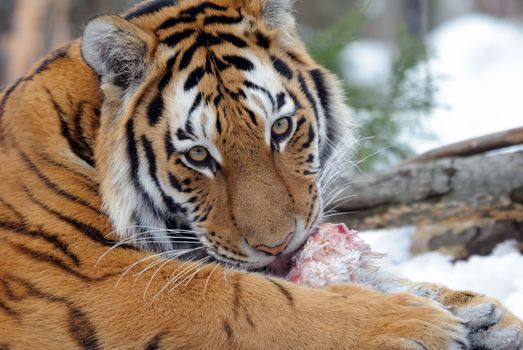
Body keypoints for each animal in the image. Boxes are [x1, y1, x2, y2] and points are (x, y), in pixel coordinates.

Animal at [0, 0, 520, 348]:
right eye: (198, 155)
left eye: (281, 128)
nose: (278, 246)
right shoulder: (94, 281)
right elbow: (249, 300)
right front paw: (418, 324)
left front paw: (482, 314)